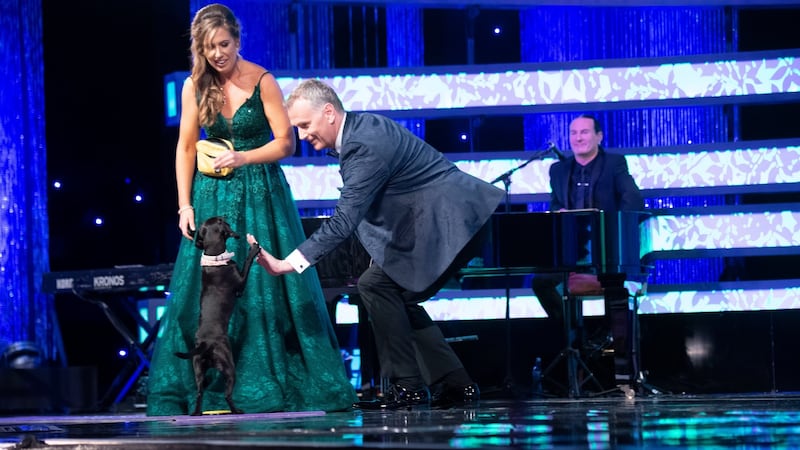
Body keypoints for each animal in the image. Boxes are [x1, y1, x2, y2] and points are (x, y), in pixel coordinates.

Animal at [175, 215, 260, 414]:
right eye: (221, 220)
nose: (225, 215)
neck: (215, 257)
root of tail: (205, 344)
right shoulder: (240, 284)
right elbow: (247, 263)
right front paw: (253, 249)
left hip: (199, 369)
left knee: (199, 392)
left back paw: (196, 413)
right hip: (229, 367)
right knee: (227, 395)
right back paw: (237, 411)